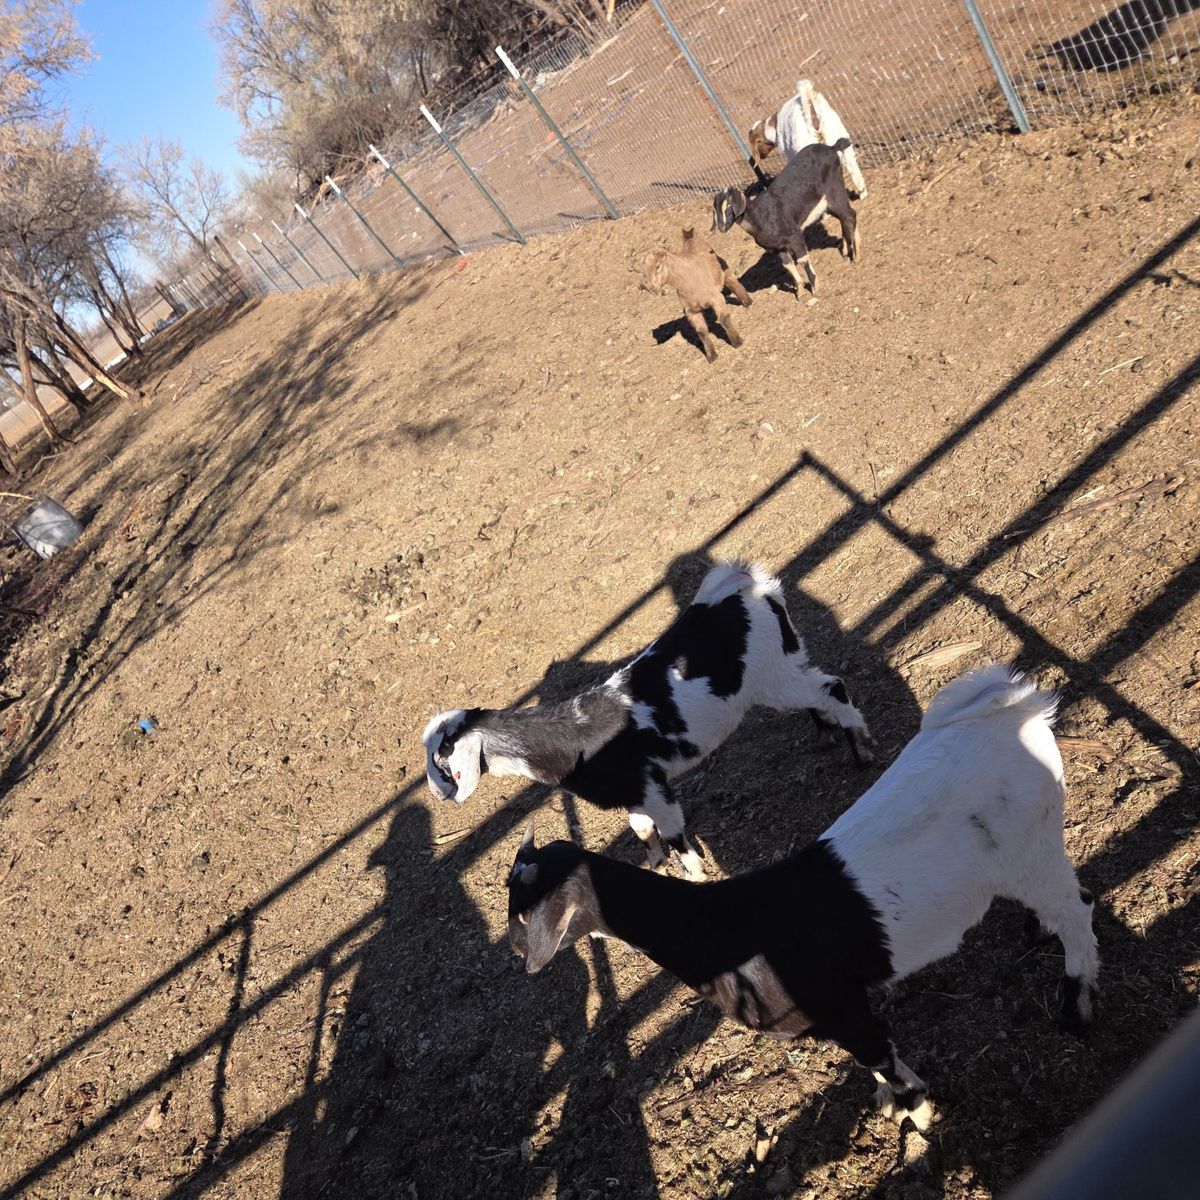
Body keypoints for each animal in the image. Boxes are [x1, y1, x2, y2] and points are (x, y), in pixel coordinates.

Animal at [424, 561, 874, 880]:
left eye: (443, 761)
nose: (438, 795)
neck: (573, 734)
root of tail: (742, 586)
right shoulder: (636, 794)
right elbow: (641, 829)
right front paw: (658, 865)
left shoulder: (653, 788)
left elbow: (673, 832)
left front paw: (695, 875)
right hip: (785, 667)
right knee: (820, 690)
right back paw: (827, 736)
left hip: (775, 678)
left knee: (832, 688)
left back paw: (863, 749)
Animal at [507, 665, 1100, 1131]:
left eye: (526, 910)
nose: (519, 953)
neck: (719, 925)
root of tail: (1012, 707)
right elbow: (876, 1063)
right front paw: (892, 1101)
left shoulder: (840, 1006)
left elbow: (879, 1055)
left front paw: (917, 1113)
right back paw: (1036, 934)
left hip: (1032, 848)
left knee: (1079, 911)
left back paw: (1076, 1007)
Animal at [641, 226, 752, 363]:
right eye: (644, 272)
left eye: (658, 266)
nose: (651, 288)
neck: (688, 281)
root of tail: (690, 237)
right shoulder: (691, 312)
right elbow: (701, 332)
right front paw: (711, 356)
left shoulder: (716, 298)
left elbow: (724, 319)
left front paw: (737, 342)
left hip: (723, 267)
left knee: (732, 282)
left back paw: (747, 301)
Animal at [713, 141, 859, 304]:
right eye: (716, 210)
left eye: (728, 207)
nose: (722, 227)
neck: (759, 217)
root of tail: (832, 148)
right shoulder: (778, 248)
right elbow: (788, 265)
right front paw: (800, 291)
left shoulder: (794, 236)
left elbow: (802, 260)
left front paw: (814, 287)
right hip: (827, 203)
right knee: (844, 217)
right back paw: (848, 250)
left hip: (834, 189)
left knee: (850, 215)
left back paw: (856, 255)